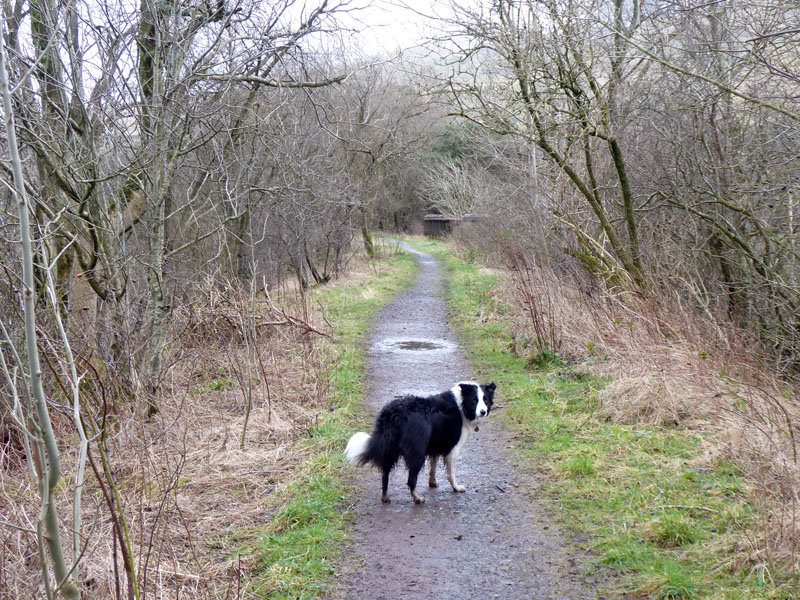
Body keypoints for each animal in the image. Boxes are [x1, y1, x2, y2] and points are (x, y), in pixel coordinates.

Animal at [342, 382, 494, 504]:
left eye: (485, 400)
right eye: (475, 400)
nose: (483, 411)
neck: (462, 405)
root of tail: (396, 411)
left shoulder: (435, 445)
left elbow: (433, 467)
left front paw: (432, 482)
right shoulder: (452, 450)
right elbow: (451, 473)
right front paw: (456, 488)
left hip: (390, 449)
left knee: (385, 474)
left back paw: (385, 497)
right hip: (417, 451)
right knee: (411, 478)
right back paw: (417, 498)